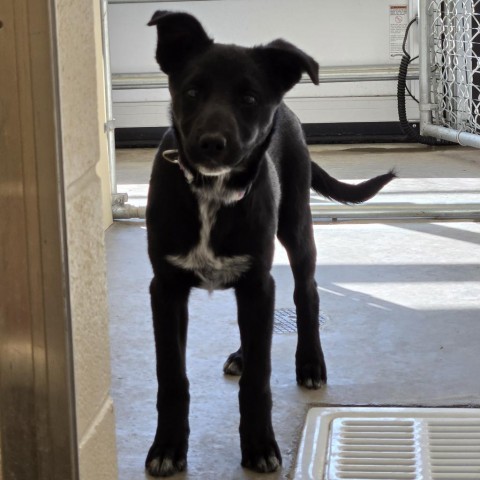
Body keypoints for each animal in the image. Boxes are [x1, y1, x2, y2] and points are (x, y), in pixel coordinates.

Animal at [145, 10, 394, 476]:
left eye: (249, 98)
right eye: (192, 91)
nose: (211, 143)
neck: (213, 193)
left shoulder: (257, 281)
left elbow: (258, 381)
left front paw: (259, 445)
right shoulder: (166, 288)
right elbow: (172, 377)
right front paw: (168, 447)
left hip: (296, 227)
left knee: (306, 293)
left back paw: (310, 362)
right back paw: (244, 353)